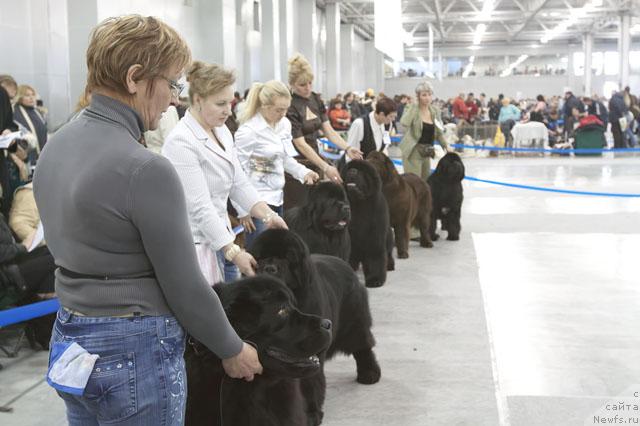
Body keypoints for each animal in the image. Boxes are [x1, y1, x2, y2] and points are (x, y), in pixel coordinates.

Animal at [249, 231, 380, 424]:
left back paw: (369, 373)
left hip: (354, 321)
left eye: (287, 257)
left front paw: (311, 414)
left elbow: (308, 384)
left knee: (363, 346)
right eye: (261, 257)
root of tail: (346, 264)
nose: (270, 268)